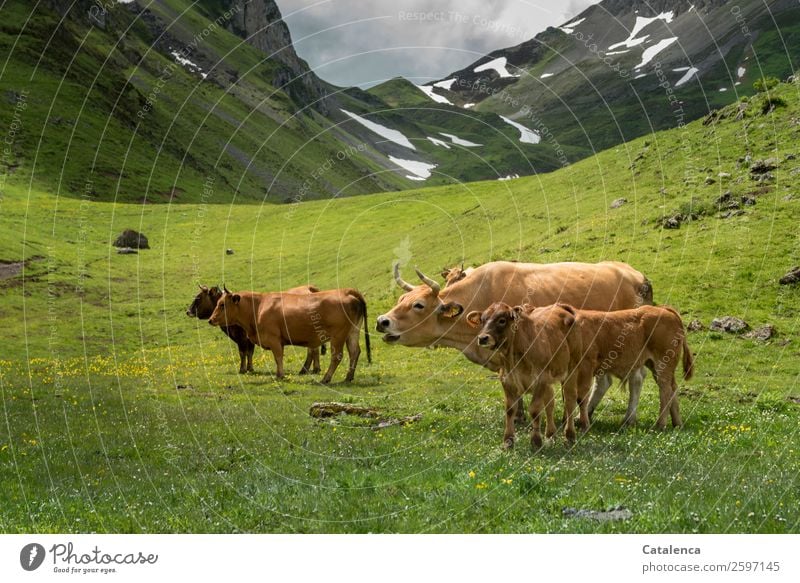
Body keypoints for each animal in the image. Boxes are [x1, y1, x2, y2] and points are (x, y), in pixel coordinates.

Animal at [205, 288, 370, 384]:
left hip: (338, 336)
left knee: (337, 356)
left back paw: (326, 378)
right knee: (355, 352)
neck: (258, 307)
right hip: (352, 332)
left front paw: (280, 375)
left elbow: (278, 357)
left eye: (222, 305)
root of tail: (347, 291)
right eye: (218, 303)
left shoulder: (274, 339)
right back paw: (348, 377)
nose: (210, 319)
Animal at [462, 304, 580, 450]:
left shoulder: (540, 380)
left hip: (572, 369)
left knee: (569, 400)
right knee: (550, 402)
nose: (483, 338)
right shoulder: (507, 381)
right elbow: (510, 409)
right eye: (482, 320)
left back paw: (569, 436)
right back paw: (550, 436)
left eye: (502, 320)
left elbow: (535, 410)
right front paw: (508, 441)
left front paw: (536, 441)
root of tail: (559, 306)